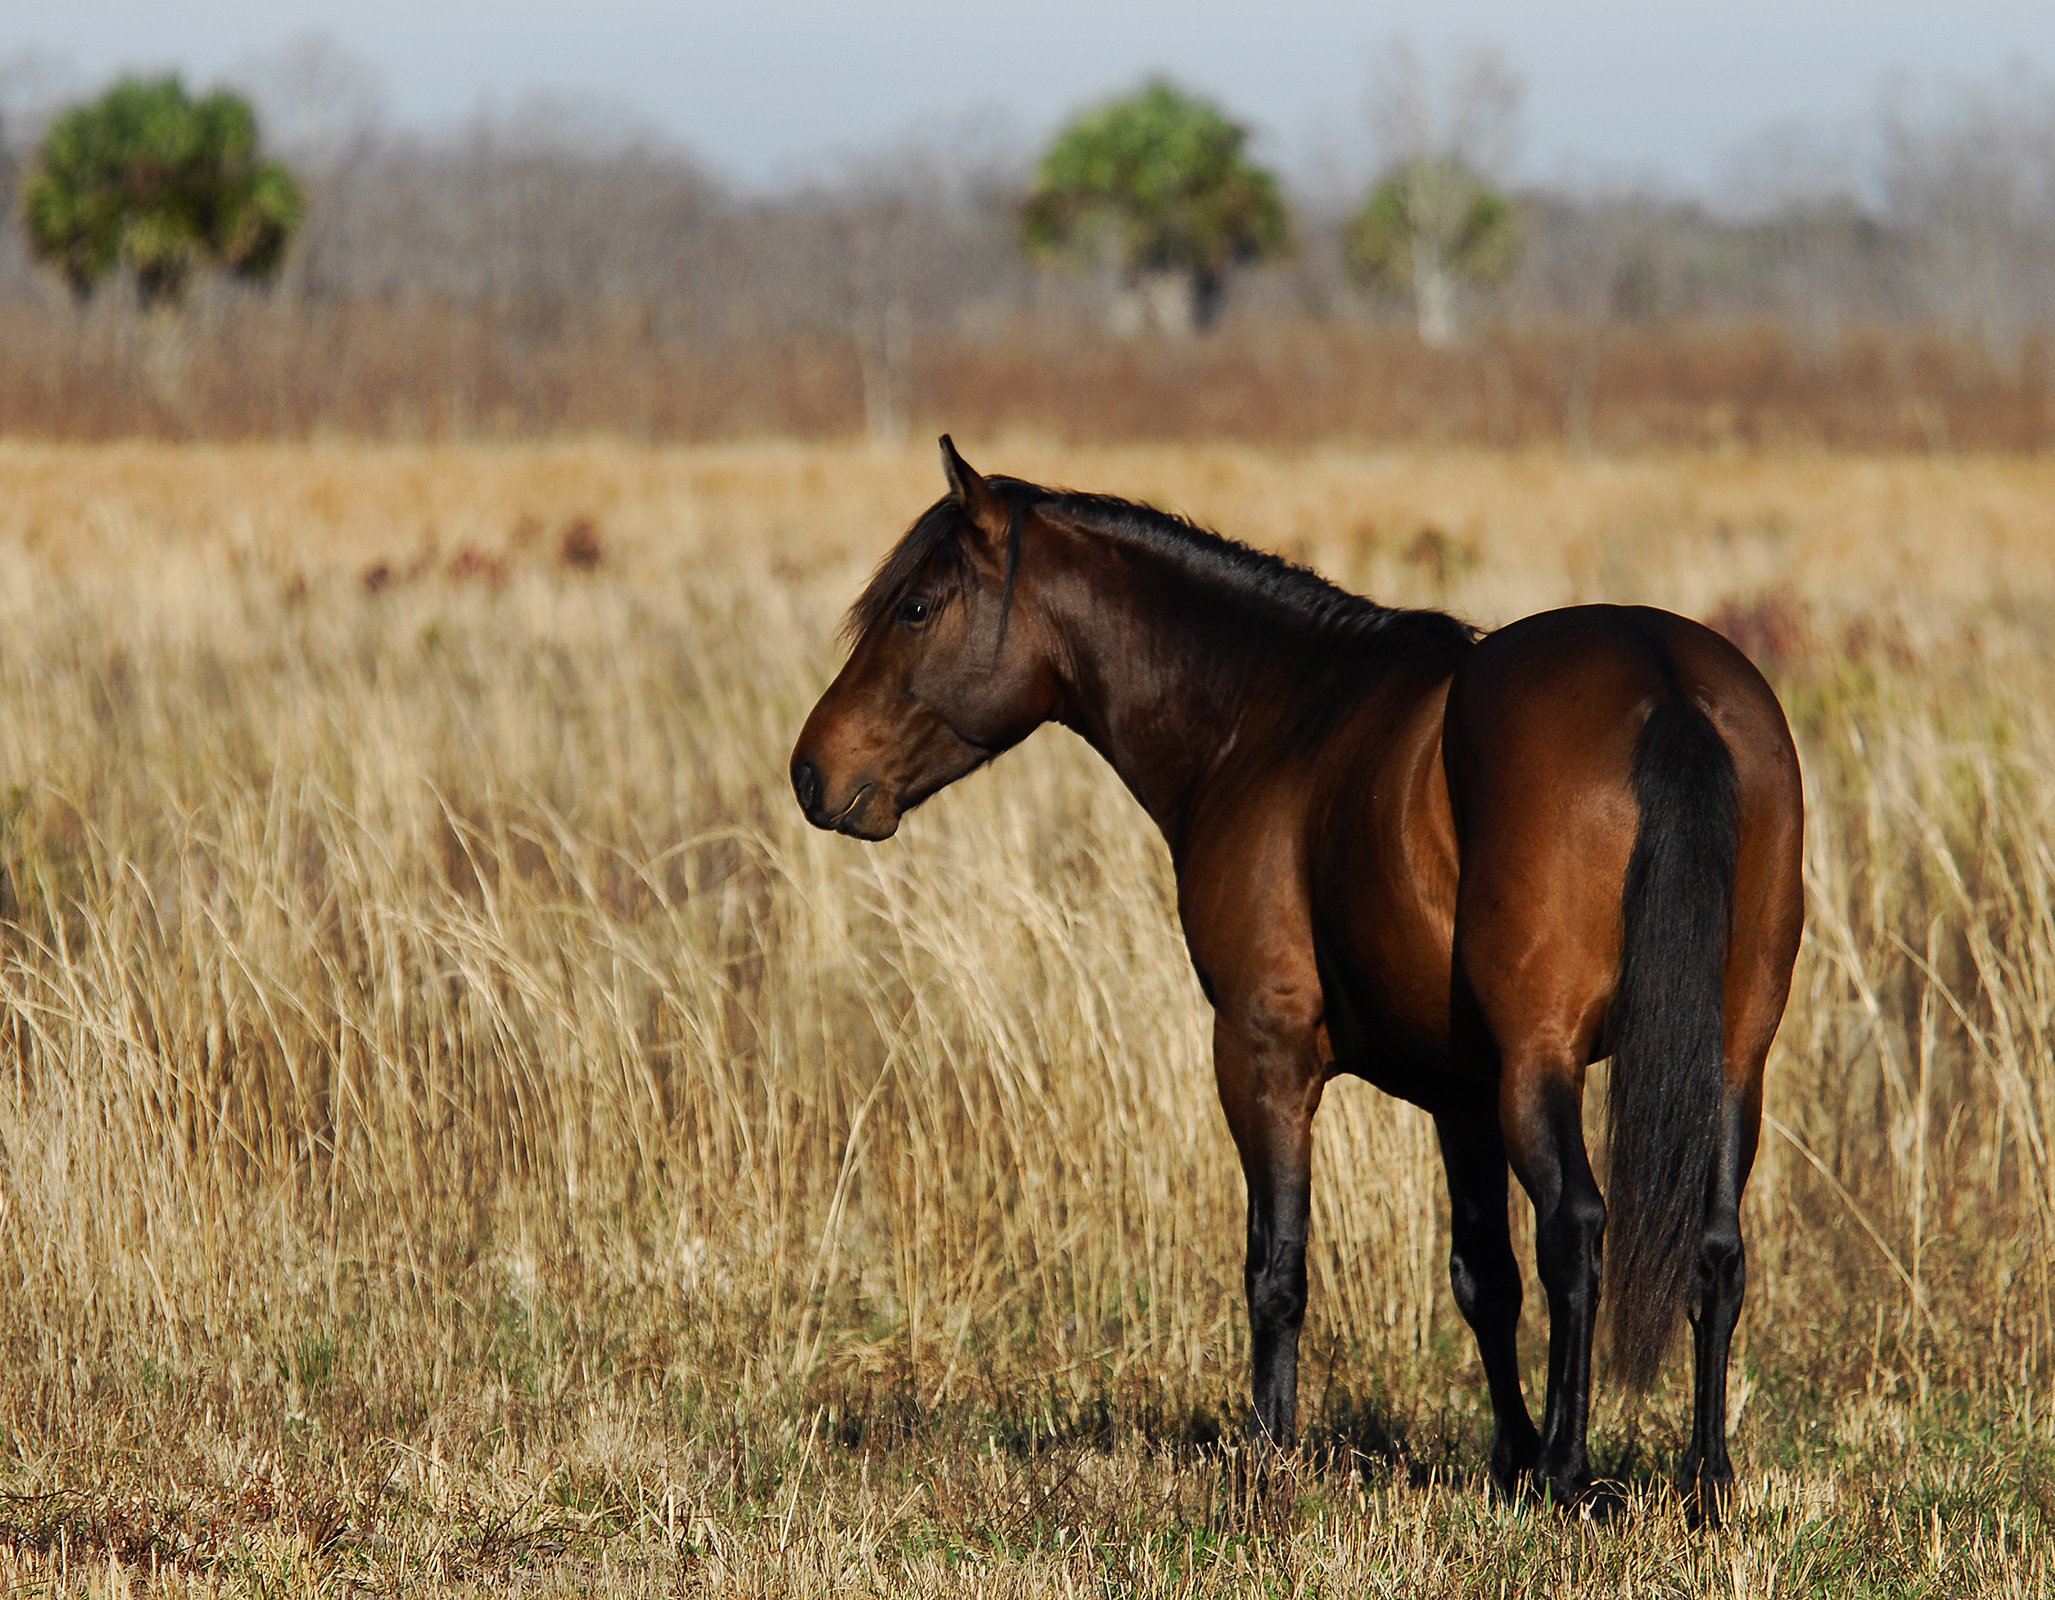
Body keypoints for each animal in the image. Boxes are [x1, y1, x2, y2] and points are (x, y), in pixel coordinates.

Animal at [790, 438, 1803, 1517]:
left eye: (915, 607)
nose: (811, 771)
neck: (1271, 722)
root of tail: (1666, 685)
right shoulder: (1460, 1091)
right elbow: (1482, 1277)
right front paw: (1507, 1452)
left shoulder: (1262, 1050)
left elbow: (1276, 1267)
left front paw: (1269, 1457)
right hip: (1731, 1056)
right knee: (1715, 1249)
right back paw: (1703, 1478)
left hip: (1544, 1060)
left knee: (1575, 1226)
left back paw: (1569, 1475)